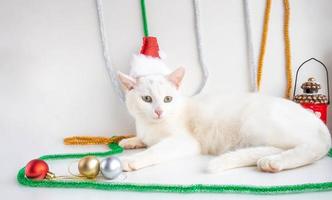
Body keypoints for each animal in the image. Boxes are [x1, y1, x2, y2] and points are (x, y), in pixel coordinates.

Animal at [116, 67, 330, 173]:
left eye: (168, 99)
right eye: (147, 99)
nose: (159, 111)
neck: (149, 125)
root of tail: (320, 125)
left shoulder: (183, 141)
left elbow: (154, 150)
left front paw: (132, 159)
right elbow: (144, 140)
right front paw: (130, 141)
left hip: (255, 123)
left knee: (308, 147)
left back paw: (274, 162)